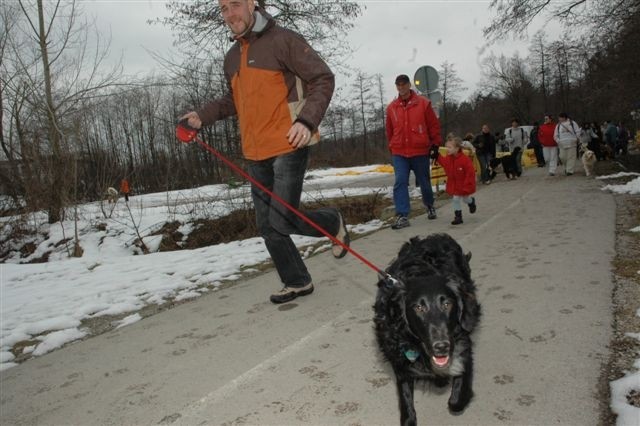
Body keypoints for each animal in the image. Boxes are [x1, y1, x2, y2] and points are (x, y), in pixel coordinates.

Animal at [376, 235, 480, 424]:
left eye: (447, 304)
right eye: (418, 308)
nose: (442, 346)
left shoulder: (463, 343)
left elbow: (456, 399)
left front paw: (457, 396)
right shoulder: (398, 357)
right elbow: (405, 396)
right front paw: (409, 418)